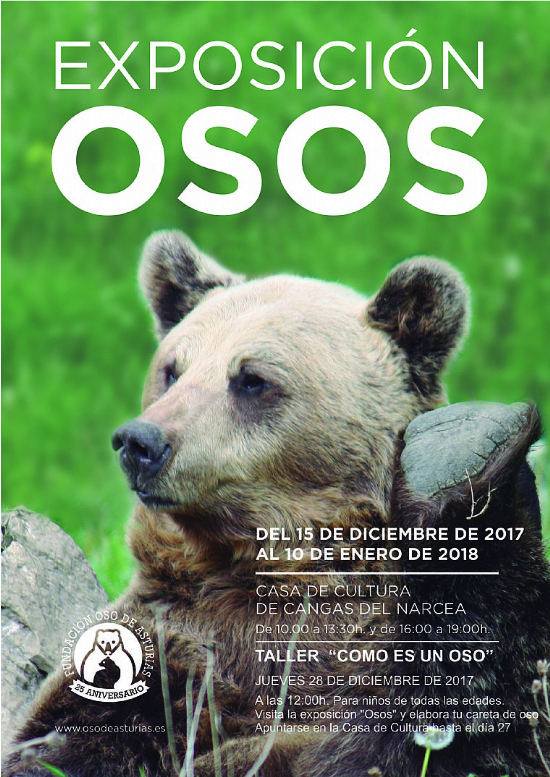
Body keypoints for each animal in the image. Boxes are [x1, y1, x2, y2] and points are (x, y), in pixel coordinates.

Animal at [4, 231, 548, 777]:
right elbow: (70, 731)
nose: (141, 442)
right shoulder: (181, 632)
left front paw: (466, 447)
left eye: (252, 378)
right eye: (172, 370)